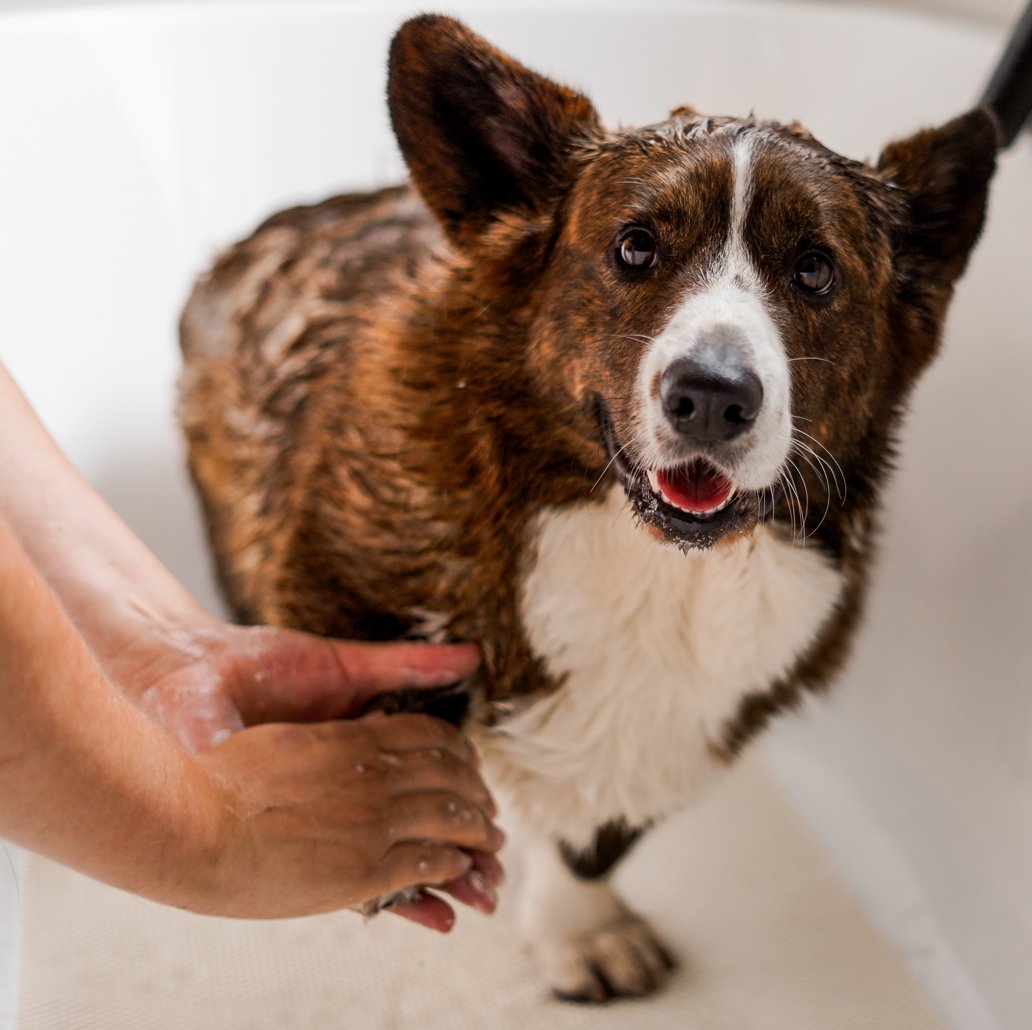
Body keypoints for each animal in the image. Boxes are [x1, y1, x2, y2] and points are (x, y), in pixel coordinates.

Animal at [179, 12, 998, 1003]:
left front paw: (581, 934)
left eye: (814, 271)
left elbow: (594, 845)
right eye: (635, 247)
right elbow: (384, 713)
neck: (651, 560)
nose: (713, 396)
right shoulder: (343, 584)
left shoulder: (686, 725)